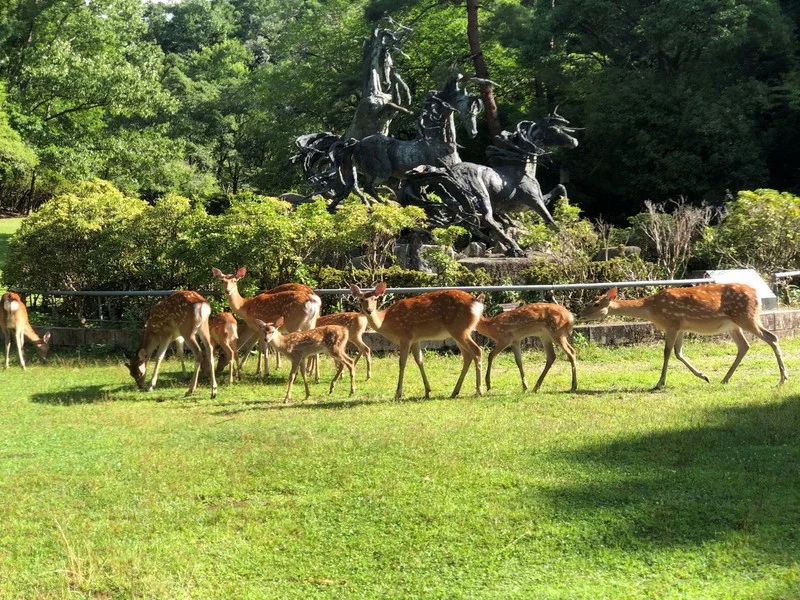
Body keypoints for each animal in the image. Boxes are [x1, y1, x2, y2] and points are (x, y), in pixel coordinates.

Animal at [350, 282, 484, 400]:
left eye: (375, 298)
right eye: (361, 299)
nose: (369, 310)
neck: (386, 322)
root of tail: (478, 304)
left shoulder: (405, 336)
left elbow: (402, 362)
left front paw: (398, 394)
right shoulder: (415, 339)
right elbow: (419, 360)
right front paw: (427, 391)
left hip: (460, 329)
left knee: (477, 351)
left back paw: (479, 390)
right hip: (458, 332)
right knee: (468, 356)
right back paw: (455, 392)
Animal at [580, 284, 788, 390]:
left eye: (596, 304)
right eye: (590, 302)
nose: (580, 314)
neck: (651, 309)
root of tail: (757, 295)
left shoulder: (671, 323)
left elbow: (667, 353)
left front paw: (659, 383)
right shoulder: (680, 327)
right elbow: (678, 353)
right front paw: (704, 376)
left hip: (747, 317)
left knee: (772, 338)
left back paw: (783, 378)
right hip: (733, 325)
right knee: (744, 346)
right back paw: (724, 379)